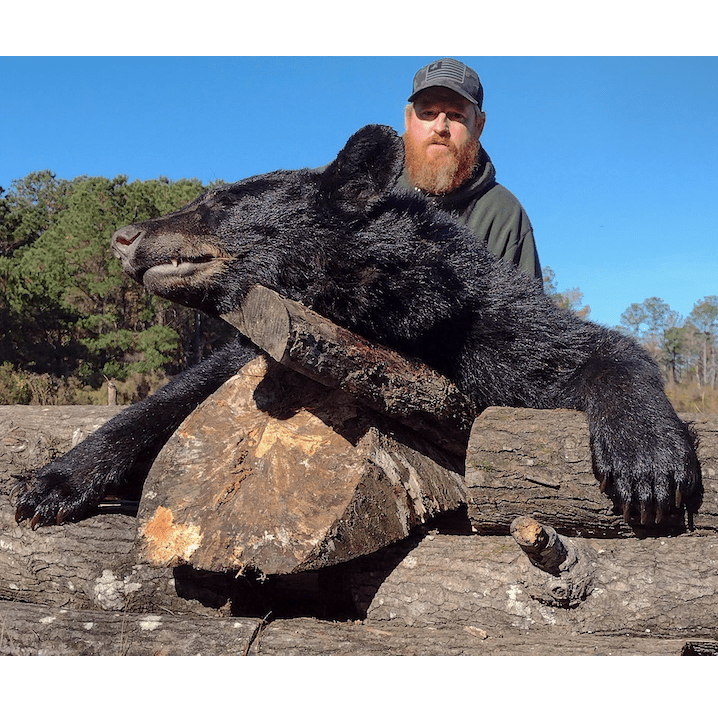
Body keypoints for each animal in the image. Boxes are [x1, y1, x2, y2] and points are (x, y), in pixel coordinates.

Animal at [13, 124, 702, 529]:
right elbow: (172, 397)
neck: (382, 306)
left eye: (217, 202)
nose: (123, 236)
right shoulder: (254, 344)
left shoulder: (478, 322)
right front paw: (51, 481)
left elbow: (583, 349)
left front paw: (647, 460)